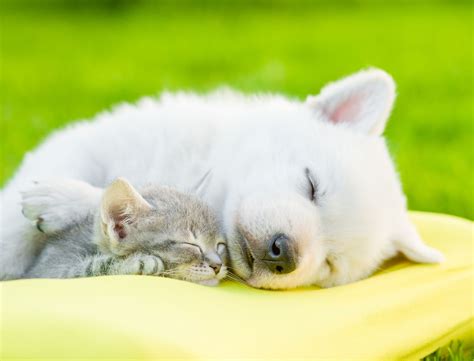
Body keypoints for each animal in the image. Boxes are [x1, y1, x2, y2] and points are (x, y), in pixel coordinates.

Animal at [21, 176, 229, 284]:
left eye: (220, 245)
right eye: (191, 244)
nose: (218, 265)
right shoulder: (47, 271)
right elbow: (87, 268)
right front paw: (135, 262)